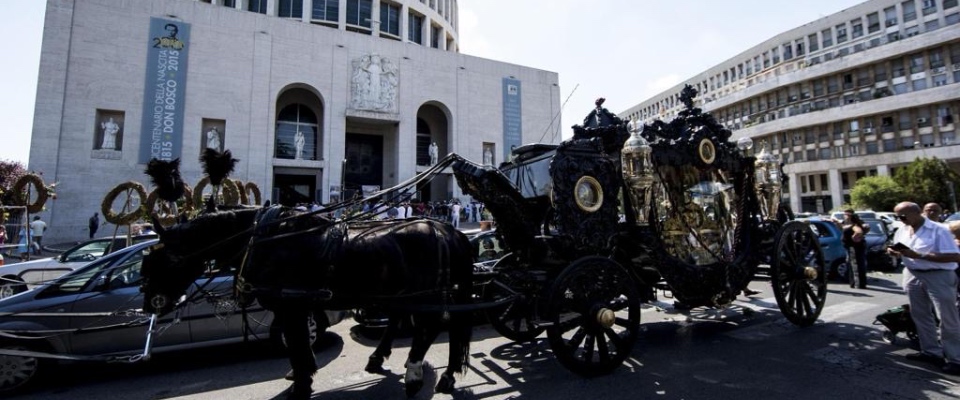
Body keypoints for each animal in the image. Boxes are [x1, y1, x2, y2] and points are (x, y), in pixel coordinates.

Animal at [140, 208, 476, 398]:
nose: (149, 305)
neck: (263, 240)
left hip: (424, 292)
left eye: (161, 261)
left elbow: (297, 342)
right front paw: (302, 374)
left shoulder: (291, 305)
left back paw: (415, 375)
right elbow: (295, 343)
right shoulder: (292, 307)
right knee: (416, 322)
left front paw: (302, 382)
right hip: (403, 291)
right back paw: (412, 366)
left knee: (431, 327)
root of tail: (447, 228)